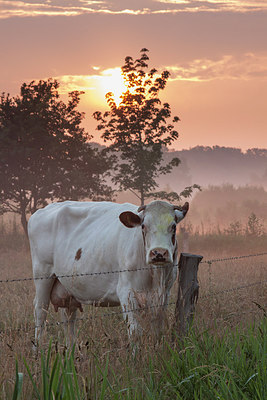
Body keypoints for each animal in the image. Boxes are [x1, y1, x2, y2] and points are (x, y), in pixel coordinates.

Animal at [27, 200, 188, 346]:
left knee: (68, 318)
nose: (159, 253)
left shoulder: (164, 294)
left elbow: (157, 330)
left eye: (173, 226)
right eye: (143, 226)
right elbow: (135, 333)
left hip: (67, 288)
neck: (155, 276)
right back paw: (38, 351)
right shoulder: (126, 292)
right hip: (42, 274)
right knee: (40, 313)